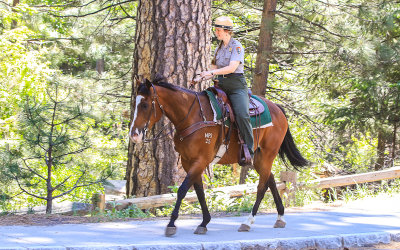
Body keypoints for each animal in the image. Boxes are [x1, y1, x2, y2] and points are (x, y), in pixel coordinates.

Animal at [130, 76, 308, 236]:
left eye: (145, 105)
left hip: (267, 155)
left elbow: (183, 189)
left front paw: (172, 223)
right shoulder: (189, 162)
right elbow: (199, 191)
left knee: (262, 187)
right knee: (270, 179)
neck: (192, 116)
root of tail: (278, 109)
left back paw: (248, 222)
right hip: (259, 159)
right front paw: (204, 222)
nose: (134, 135)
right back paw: (280, 217)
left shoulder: (200, 160)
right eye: (134, 104)